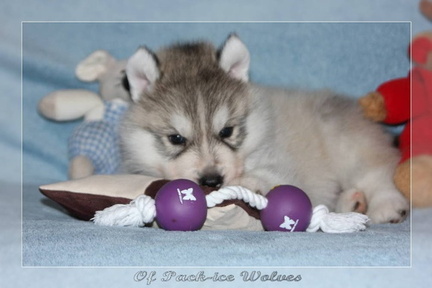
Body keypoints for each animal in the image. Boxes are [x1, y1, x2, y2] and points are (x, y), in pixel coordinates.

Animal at [121, 33, 408, 223]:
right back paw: (351, 202)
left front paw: (247, 182)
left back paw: (386, 205)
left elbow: (269, 175)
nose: (212, 181)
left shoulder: (279, 163)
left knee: (375, 172)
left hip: (345, 141)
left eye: (227, 132)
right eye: (176, 138)